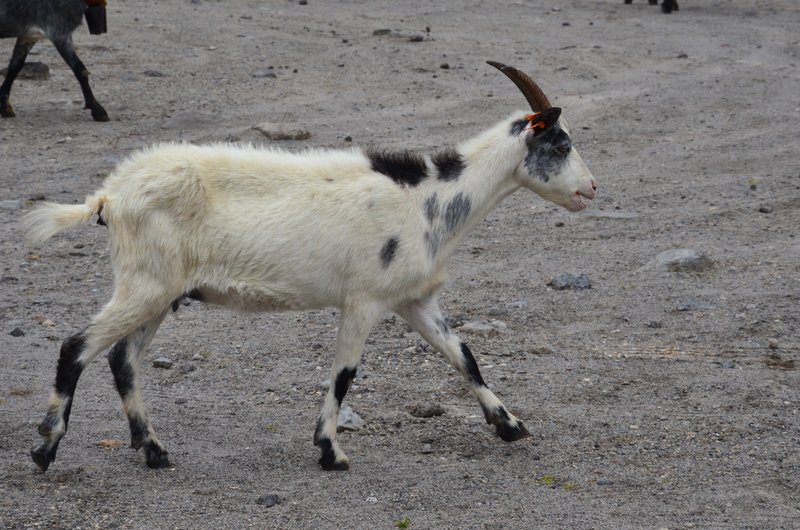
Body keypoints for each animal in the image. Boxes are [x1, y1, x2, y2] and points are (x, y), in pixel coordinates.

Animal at [22, 61, 597, 472]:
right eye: (562, 142)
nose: (591, 188)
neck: (429, 199)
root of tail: (110, 195)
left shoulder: (414, 299)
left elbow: (465, 357)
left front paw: (511, 426)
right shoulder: (364, 300)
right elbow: (344, 374)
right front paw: (331, 452)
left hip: (160, 292)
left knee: (123, 359)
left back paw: (154, 450)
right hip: (144, 283)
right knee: (76, 346)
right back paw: (47, 448)